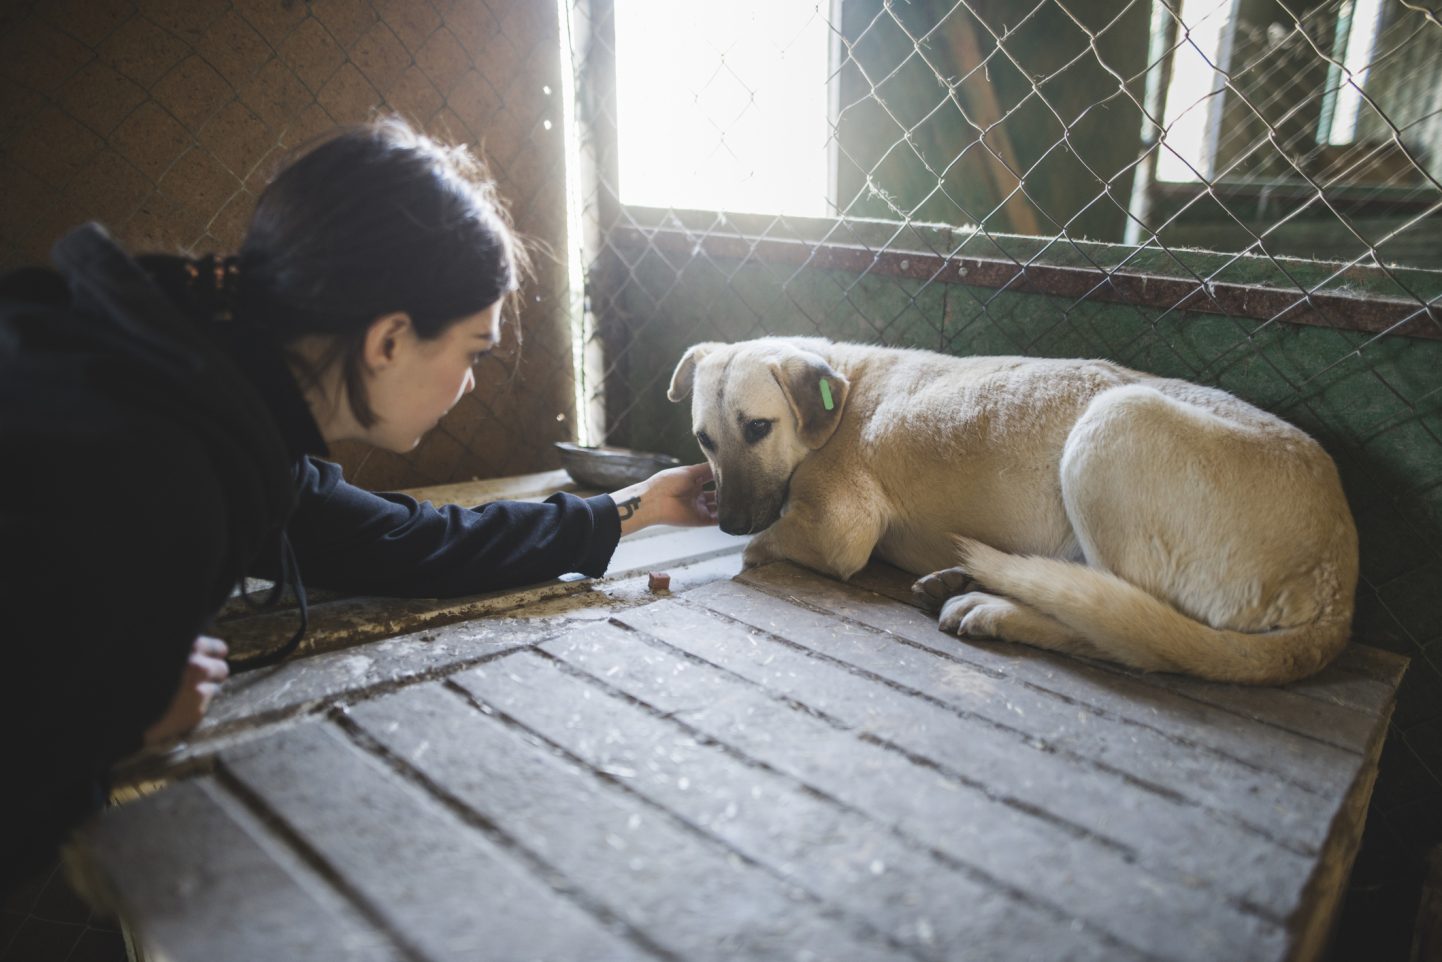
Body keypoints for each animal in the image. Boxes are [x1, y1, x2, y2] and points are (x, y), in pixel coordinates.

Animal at [669, 338, 1355, 683]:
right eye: (705, 439)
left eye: (758, 428)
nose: (727, 521)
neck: (841, 390)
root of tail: (1338, 586)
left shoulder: (839, 530)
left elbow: (761, 548)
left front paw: (747, 546)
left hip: (1114, 424)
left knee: (1125, 632)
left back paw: (992, 607)